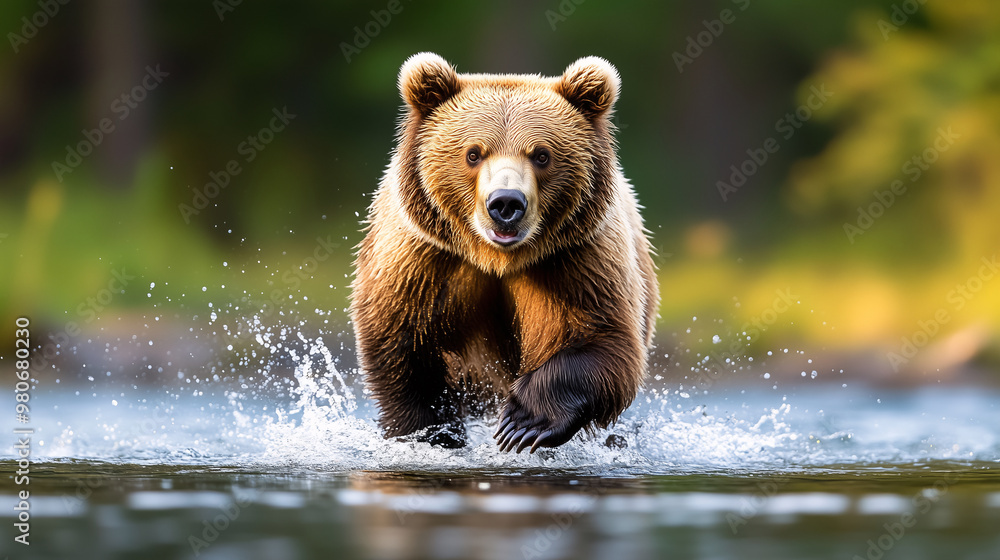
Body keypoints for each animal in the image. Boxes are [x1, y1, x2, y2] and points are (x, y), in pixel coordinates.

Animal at [350, 52, 658, 453]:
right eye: (473, 153)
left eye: (541, 154)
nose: (506, 203)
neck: (497, 258)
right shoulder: (423, 260)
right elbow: (401, 346)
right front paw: (432, 433)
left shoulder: (577, 260)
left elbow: (605, 341)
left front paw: (523, 421)